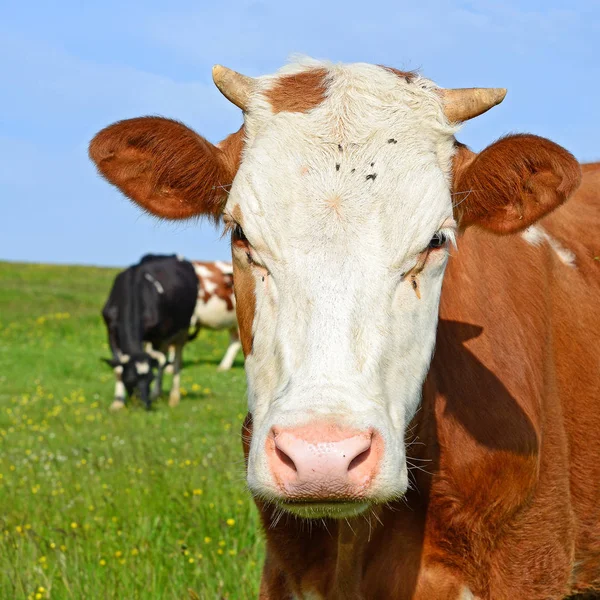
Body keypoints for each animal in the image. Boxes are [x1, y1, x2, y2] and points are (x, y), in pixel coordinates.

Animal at [102, 251, 197, 410]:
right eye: (130, 379)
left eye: (150, 378)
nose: (144, 404)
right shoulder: (111, 332)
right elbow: (117, 367)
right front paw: (118, 402)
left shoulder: (158, 336)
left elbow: (159, 363)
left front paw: (154, 394)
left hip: (181, 329)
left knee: (175, 360)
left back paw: (171, 396)